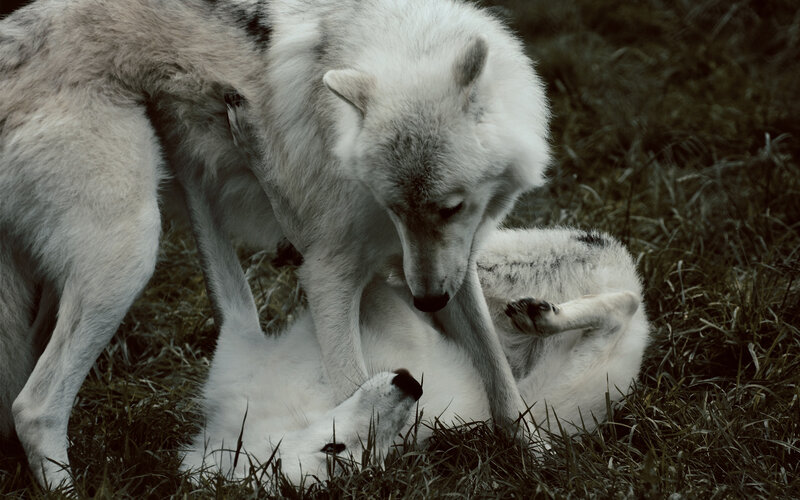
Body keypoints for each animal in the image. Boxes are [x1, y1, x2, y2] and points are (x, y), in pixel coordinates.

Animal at [0, 0, 549, 487]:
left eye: (450, 208)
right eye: (394, 207)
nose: (427, 302)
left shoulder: (452, 267)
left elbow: (498, 372)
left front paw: (538, 454)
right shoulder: (329, 275)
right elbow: (351, 383)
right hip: (129, 257)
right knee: (34, 407)